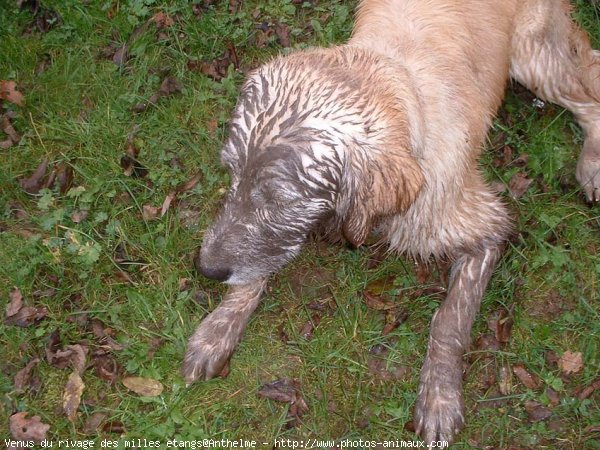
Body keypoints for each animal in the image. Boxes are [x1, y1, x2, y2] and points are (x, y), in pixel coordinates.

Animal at [183, 0, 600, 444]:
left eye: (279, 199)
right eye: (231, 174)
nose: (205, 269)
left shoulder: (486, 225)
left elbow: (449, 320)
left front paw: (439, 395)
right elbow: (259, 265)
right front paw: (217, 328)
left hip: (532, 58)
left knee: (590, 84)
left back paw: (592, 164)